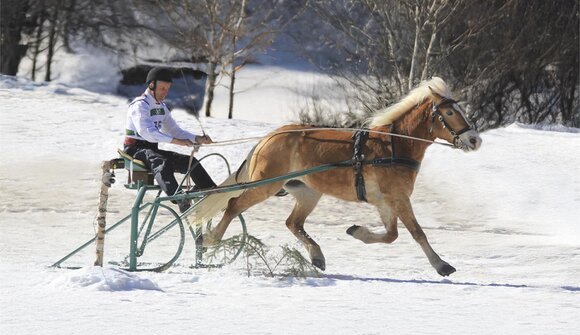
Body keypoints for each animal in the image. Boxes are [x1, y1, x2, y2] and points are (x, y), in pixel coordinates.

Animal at [199, 77, 480, 276]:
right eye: (450, 113)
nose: (475, 140)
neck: (393, 146)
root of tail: (268, 138)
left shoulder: (386, 201)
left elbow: (391, 235)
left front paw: (356, 231)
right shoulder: (399, 198)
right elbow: (417, 233)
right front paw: (441, 265)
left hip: (308, 191)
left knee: (293, 223)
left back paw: (317, 255)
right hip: (265, 186)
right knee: (233, 206)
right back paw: (211, 240)